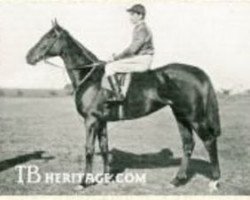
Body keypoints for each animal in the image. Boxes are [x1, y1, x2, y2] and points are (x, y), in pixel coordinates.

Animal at [25, 20, 221, 189]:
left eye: (49, 37)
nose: (28, 57)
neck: (90, 77)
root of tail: (197, 72)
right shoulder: (101, 121)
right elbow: (104, 148)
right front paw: (105, 178)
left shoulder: (91, 121)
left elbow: (89, 149)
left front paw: (83, 182)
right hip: (181, 116)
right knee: (188, 144)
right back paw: (177, 180)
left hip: (194, 118)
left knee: (209, 141)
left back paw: (214, 181)